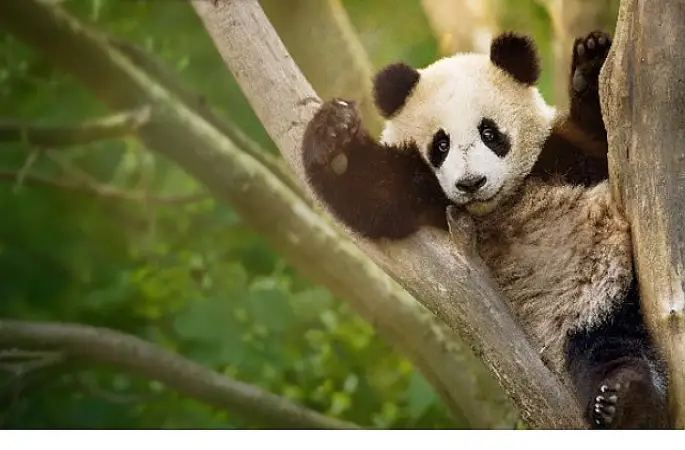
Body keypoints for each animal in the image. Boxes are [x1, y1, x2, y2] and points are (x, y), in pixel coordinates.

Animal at [300, 30, 669, 429]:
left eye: (490, 132)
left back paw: (627, 397)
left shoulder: (561, 157)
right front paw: (332, 132)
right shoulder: (425, 194)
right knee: (608, 348)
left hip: (606, 289)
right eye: (441, 144)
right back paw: (624, 399)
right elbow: (371, 194)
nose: (471, 183)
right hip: (578, 316)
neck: (500, 204)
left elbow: (603, 140)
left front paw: (591, 63)